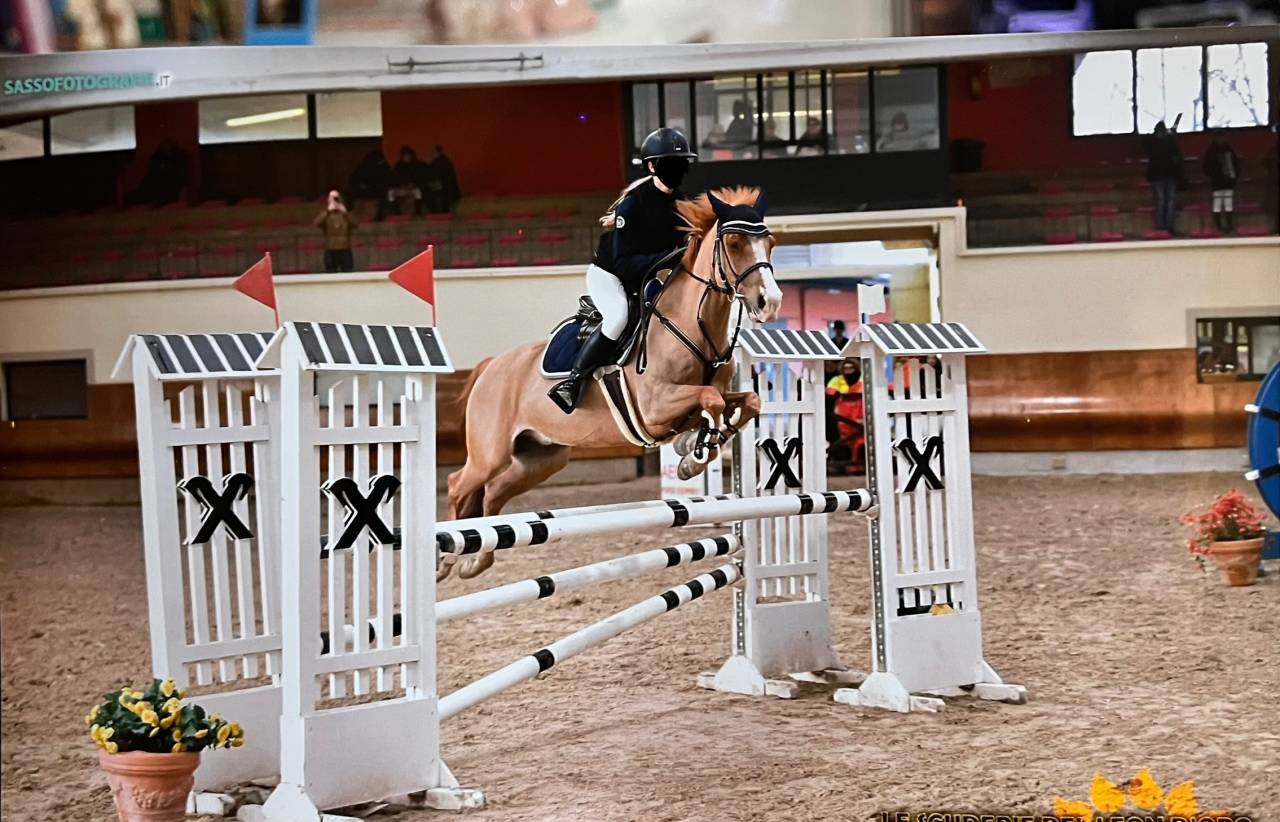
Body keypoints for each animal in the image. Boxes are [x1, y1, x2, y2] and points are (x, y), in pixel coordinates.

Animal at [441, 186, 781, 580]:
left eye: (769, 242)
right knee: (458, 484)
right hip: (490, 454)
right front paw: (694, 456)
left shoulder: (707, 398)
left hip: (539, 459)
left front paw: (692, 452)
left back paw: (474, 561)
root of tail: (491, 366)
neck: (692, 325)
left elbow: (747, 402)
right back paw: (445, 559)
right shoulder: (655, 407)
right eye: (736, 243)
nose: (771, 302)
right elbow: (711, 399)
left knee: (493, 493)